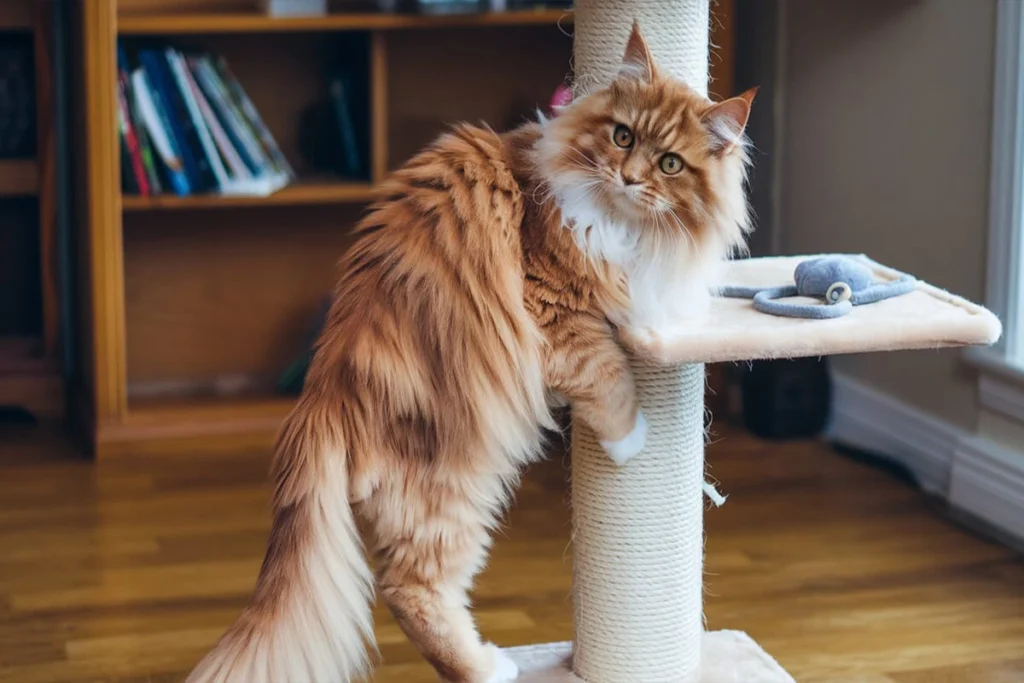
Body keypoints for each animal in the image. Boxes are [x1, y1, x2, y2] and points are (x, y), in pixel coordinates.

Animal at [188, 24, 757, 683]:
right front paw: (628, 442)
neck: (624, 226)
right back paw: (491, 667)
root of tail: (321, 396)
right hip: (453, 492)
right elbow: (608, 375)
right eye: (623, 136)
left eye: (669, 163)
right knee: (409, 590)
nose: (629, 177)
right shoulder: (555, 312)